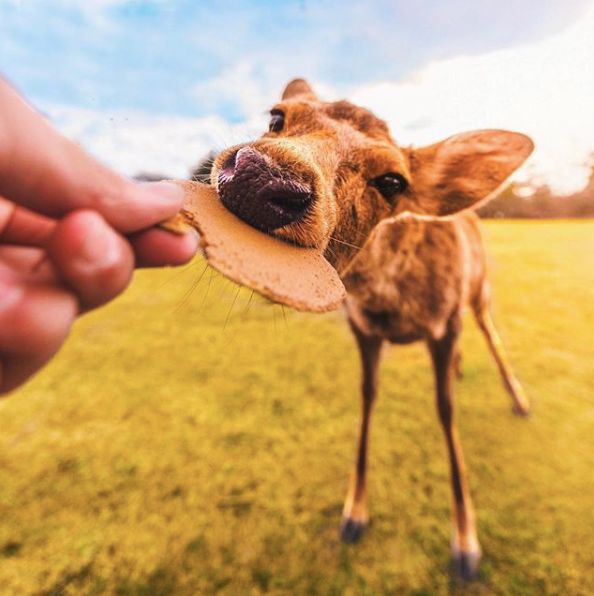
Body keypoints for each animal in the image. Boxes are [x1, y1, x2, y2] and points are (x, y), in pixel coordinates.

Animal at [209, 79, 532, 576]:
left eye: (393, 180)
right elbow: (366, 397)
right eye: (277, 117)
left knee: (492, 337)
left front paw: (465, 546)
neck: (391, 301)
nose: (263, 175)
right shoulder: (362, 328)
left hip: (480, 294)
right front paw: (353, 515)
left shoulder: (446, 322)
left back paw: (518, 399)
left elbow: (446, 411)